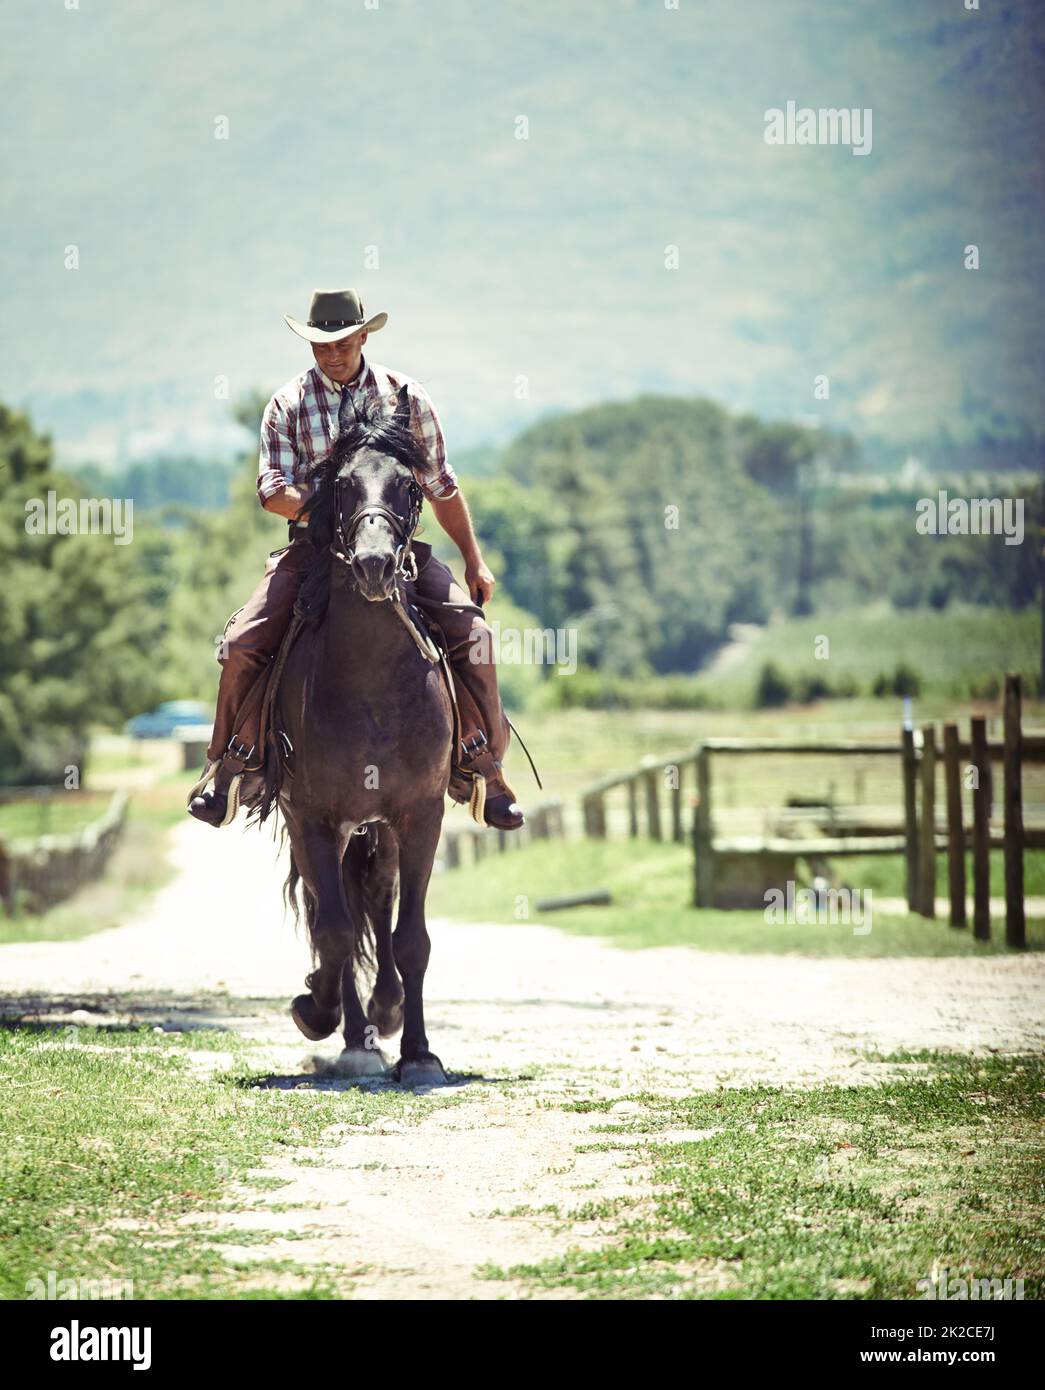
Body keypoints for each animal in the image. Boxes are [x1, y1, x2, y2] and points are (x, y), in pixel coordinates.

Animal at [265, 389, 450, 1084]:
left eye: (408, 486)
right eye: (342, 486)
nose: (373, 565)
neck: (370, 683)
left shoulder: (419, 815)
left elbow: (410, 938)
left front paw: (418, 1051)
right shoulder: (313, 817)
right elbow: (336, 932)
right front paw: (319, 1010)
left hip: (379, 829)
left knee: (374, 899)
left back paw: (384, 1013)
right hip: (326, 827)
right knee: (335, 912)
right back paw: (353, 1034)